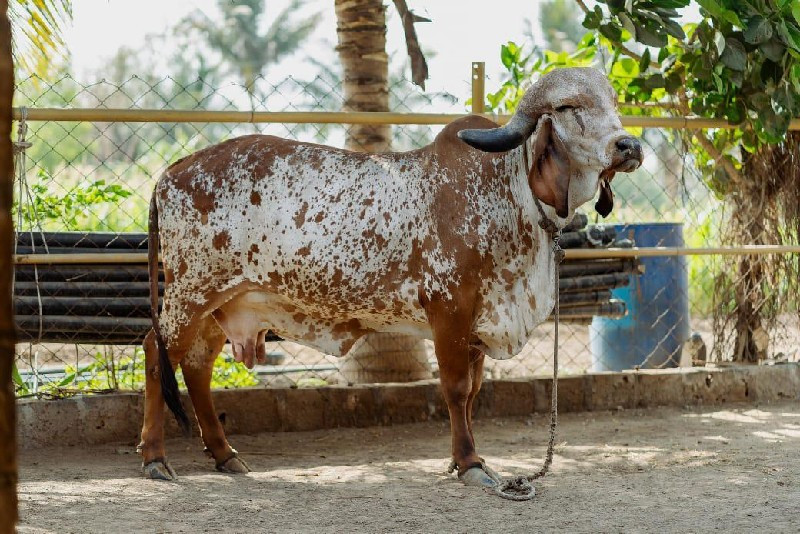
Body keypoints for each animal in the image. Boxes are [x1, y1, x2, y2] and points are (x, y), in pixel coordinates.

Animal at [141, 68, 644, 490]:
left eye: (612, 102)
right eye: (569, 107)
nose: (629, 146)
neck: (508, 188)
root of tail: (171, 170)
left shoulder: (479, 322)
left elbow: (474, 393)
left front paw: (461, 458)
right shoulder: (449, 310)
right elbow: (456, 389)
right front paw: (469, 464)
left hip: (224, 302)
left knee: (197, 365)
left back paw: (224, 454)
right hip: (190, 293)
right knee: (156, 351)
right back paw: (155, 458)